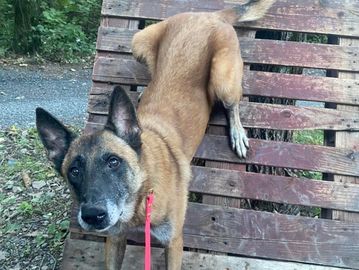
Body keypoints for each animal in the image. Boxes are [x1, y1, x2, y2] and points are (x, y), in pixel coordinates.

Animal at [35, 1, 276, 268]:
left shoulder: (173, 242)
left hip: (223, 79)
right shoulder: (115, 239)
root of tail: (209, 15)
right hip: (138, 42)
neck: (141, 193)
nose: (92, 216)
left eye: (113, 162)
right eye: (74, 171)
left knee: (232, 105)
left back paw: (237, 133)